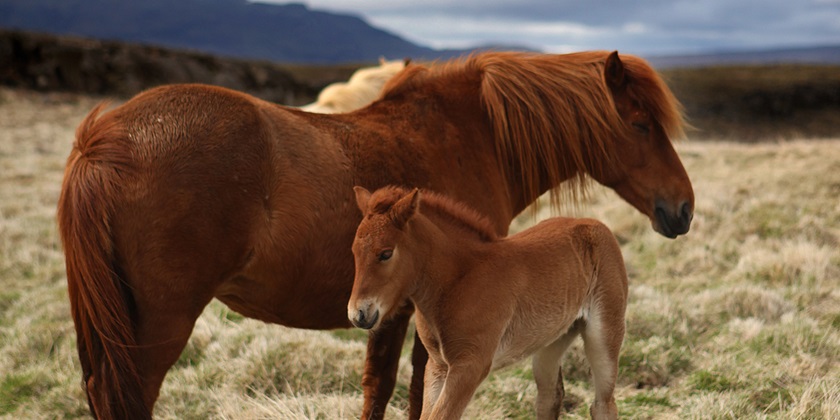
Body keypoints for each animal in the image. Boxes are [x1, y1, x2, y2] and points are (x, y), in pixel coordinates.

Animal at [55, 50, 692, 418]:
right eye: (641, 123)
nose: (683, 209)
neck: (468, 133)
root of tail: (104, 140)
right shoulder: (418, 319)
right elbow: (403, 392)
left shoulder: (396, 311)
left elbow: (383, 388)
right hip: (157, 328)